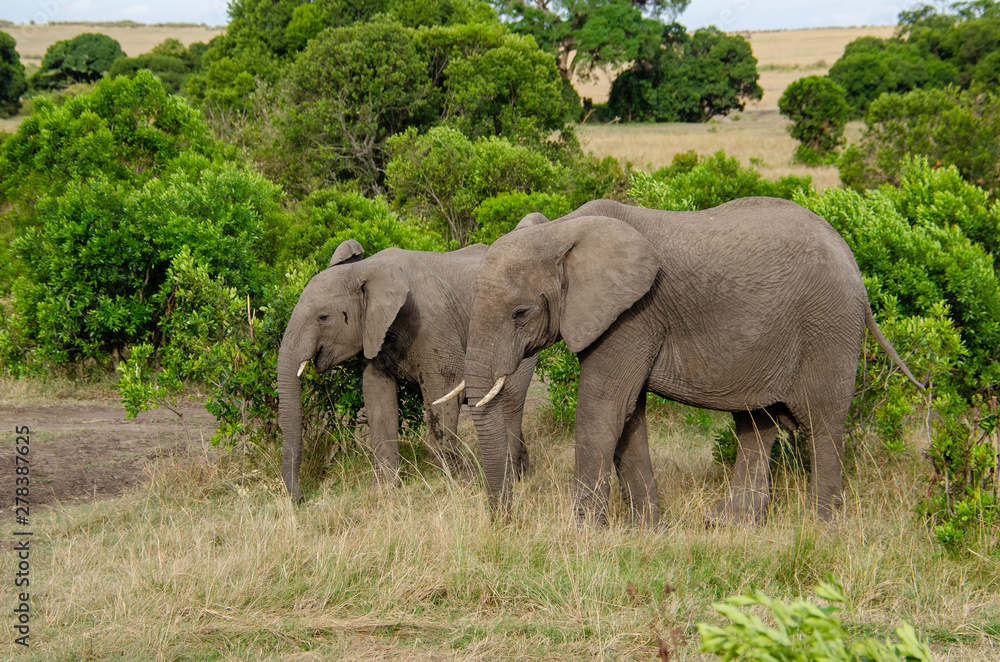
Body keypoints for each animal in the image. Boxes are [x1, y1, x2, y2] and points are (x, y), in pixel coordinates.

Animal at [277, 221, 547, 501]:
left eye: (323, 317)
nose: (301, 499)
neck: (365, 269)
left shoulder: (435, 327)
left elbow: (443, 393)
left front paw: (467, 483)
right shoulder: (376, 334)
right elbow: (376, 397)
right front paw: (384, 490)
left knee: (510, 399)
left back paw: (516, 476)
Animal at [447, 198, 921, 526]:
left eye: (520, 313)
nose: (507, 521)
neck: (563, 230)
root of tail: (853, 262)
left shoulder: (633, 314)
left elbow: (603, 408)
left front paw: (583, 533)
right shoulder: (627, 318)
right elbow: (628, 413)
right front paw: (647, 530)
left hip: (828, 327)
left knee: (821, 423)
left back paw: (821, 526)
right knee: (757, 424)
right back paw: (730, 524)